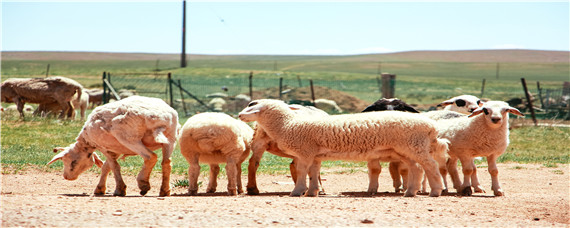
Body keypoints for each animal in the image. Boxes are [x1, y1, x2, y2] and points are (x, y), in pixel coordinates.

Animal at [48, 95, 179, 197]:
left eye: (71, 161)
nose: (66, 177)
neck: (86, 141)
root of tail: (160, 116)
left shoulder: (104, 147)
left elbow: (113, 166)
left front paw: (119, 189)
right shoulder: (116, 149)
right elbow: (106, 167)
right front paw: (100, 188)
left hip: (129, 138)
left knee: (150, 157)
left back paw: (143, 184)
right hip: (171, 138)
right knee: (166, 162)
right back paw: (165, 190)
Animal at [237, 99, 446, 197]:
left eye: (253, 107)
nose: (239, 115)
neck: (288, 124)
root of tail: (431, 127)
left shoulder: (304, 152)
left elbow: (302, 171)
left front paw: (297, 191)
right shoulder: (315, 155)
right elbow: (313, 173)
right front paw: (312, 191)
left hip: (415, 146)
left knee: (431, 167)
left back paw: (436, 190)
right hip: (407, 149)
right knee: (416, 168)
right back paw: (410, 191)